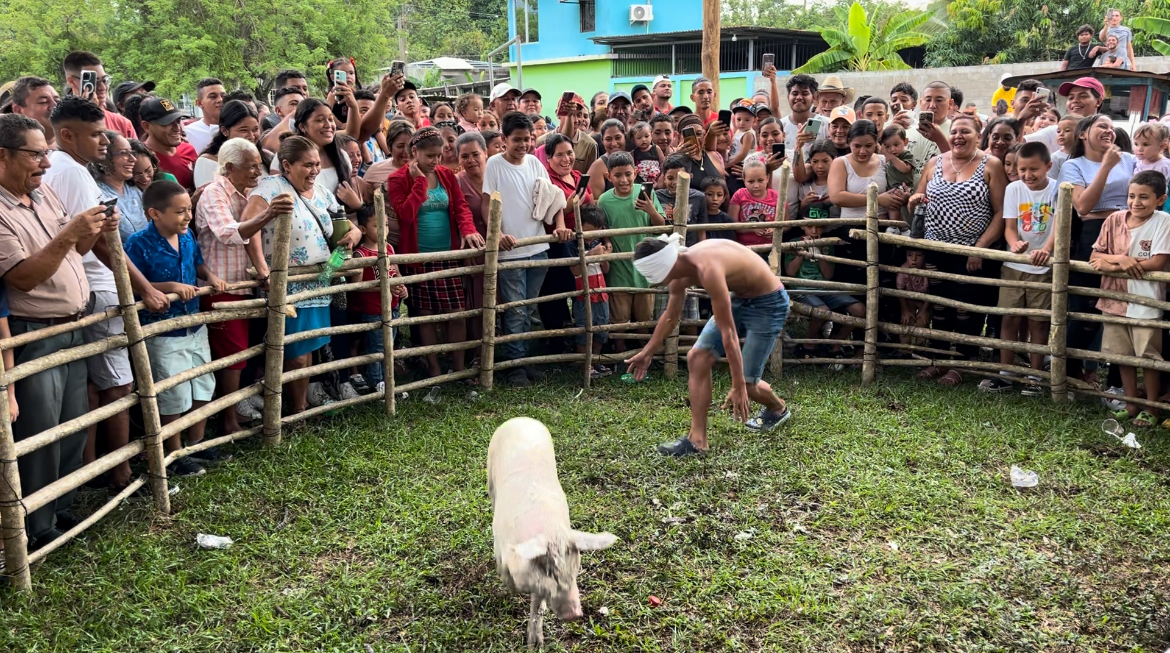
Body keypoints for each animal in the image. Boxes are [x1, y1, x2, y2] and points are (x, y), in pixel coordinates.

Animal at [487, 417, 617, 649]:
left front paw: (535, 644)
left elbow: (538, 606)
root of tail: (521, 418)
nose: (575, 614)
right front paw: (510, 589)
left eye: (575, 567)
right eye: (549, 571)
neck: (550, 532)